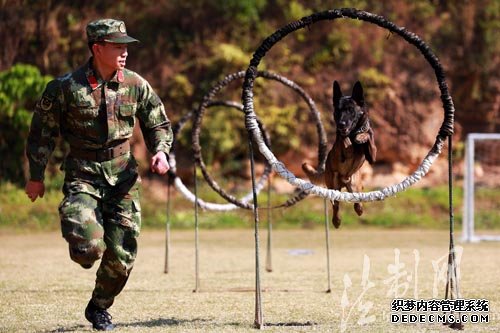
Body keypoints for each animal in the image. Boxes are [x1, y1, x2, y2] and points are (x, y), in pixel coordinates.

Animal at [302, 80, 376, 227]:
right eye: (337, 110)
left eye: (350, 110)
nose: (341, 124)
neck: (353, 131)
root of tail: (344, 181)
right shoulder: (342, 149)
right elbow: (345, 141)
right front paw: (350, 139)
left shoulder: (372, 156)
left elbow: (368, 135)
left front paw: (362, 136)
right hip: (333, 185)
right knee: (335, 205)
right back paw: (336, 221)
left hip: (356, 186)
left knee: (357, 203)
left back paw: (359, 208)